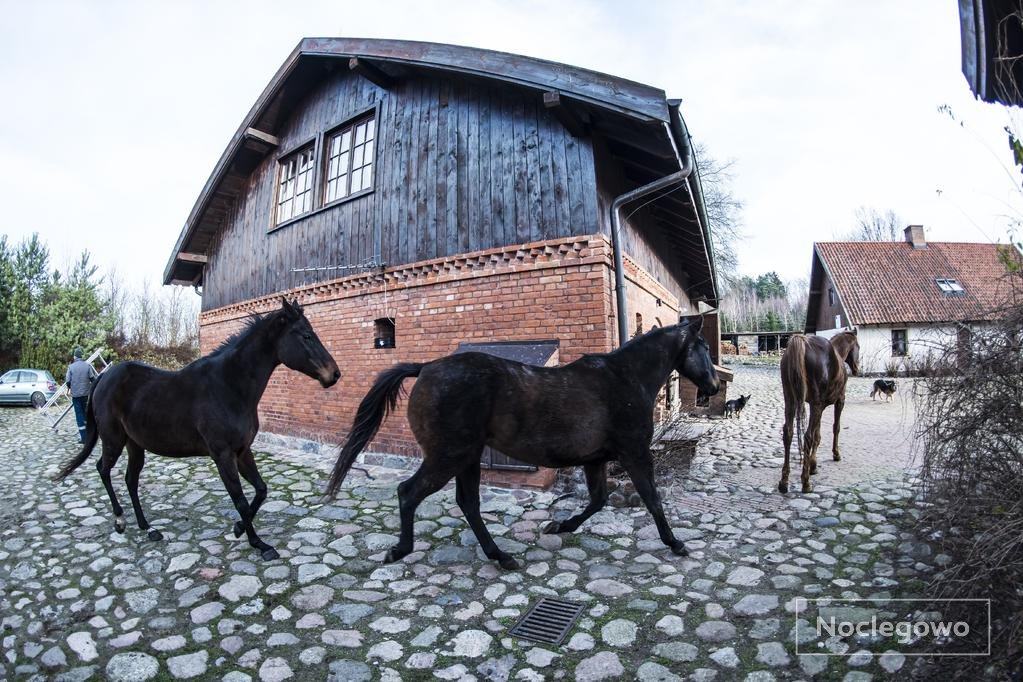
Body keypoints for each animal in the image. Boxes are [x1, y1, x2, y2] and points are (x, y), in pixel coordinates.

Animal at [53, 298, 341, 560]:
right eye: (306, 335)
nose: (334, 374)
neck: (229, 386)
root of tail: (103, 377)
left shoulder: (242, 451)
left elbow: (260, 491)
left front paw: (239, 529)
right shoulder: (223, 456)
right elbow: (240, 499)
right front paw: (259, 544)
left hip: (135, 445)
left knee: (130, 480)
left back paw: (148, 528)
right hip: (113, 440)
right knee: (103, 469)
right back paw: (120, 521)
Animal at [327, 316, 720, 572]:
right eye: (702, 346)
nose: (714, 386)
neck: (624, 379)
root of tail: (425, 367)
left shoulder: (595, 459)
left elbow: (598, 500)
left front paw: (559, 526)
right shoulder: (635, 453)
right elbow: (652, 499)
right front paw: (676, 543)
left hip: (466, 458)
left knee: (468, 504)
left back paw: (500, 556)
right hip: (447, 457)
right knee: (409, 493)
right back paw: (399, 551)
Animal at [777, 331, 859, 496]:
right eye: (857, 346)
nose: (856, 368)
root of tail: (802, 341)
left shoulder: (819, 407)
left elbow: (817, 435)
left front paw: (813, 464)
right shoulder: (838, 402)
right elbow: (833, 429)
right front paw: (834, 455)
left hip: (790, 401)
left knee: (788, 433)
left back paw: (784, 482)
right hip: (815, 404)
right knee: (807, 436)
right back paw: (805, 482)